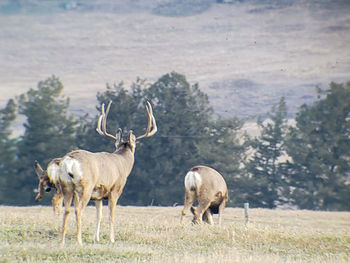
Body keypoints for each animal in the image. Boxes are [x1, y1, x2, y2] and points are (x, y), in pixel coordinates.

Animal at [34, 100, 157, 245]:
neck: (123, 163)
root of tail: (69, 160)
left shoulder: (98, 196)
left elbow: (99, 215)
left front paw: (96, 238)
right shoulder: (115, 190)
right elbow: (111, 215)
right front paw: (112, 239)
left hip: (67, 187)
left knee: (67, 209)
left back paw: (62, 241)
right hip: (85, 186)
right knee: (78, 210)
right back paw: (79, 241)